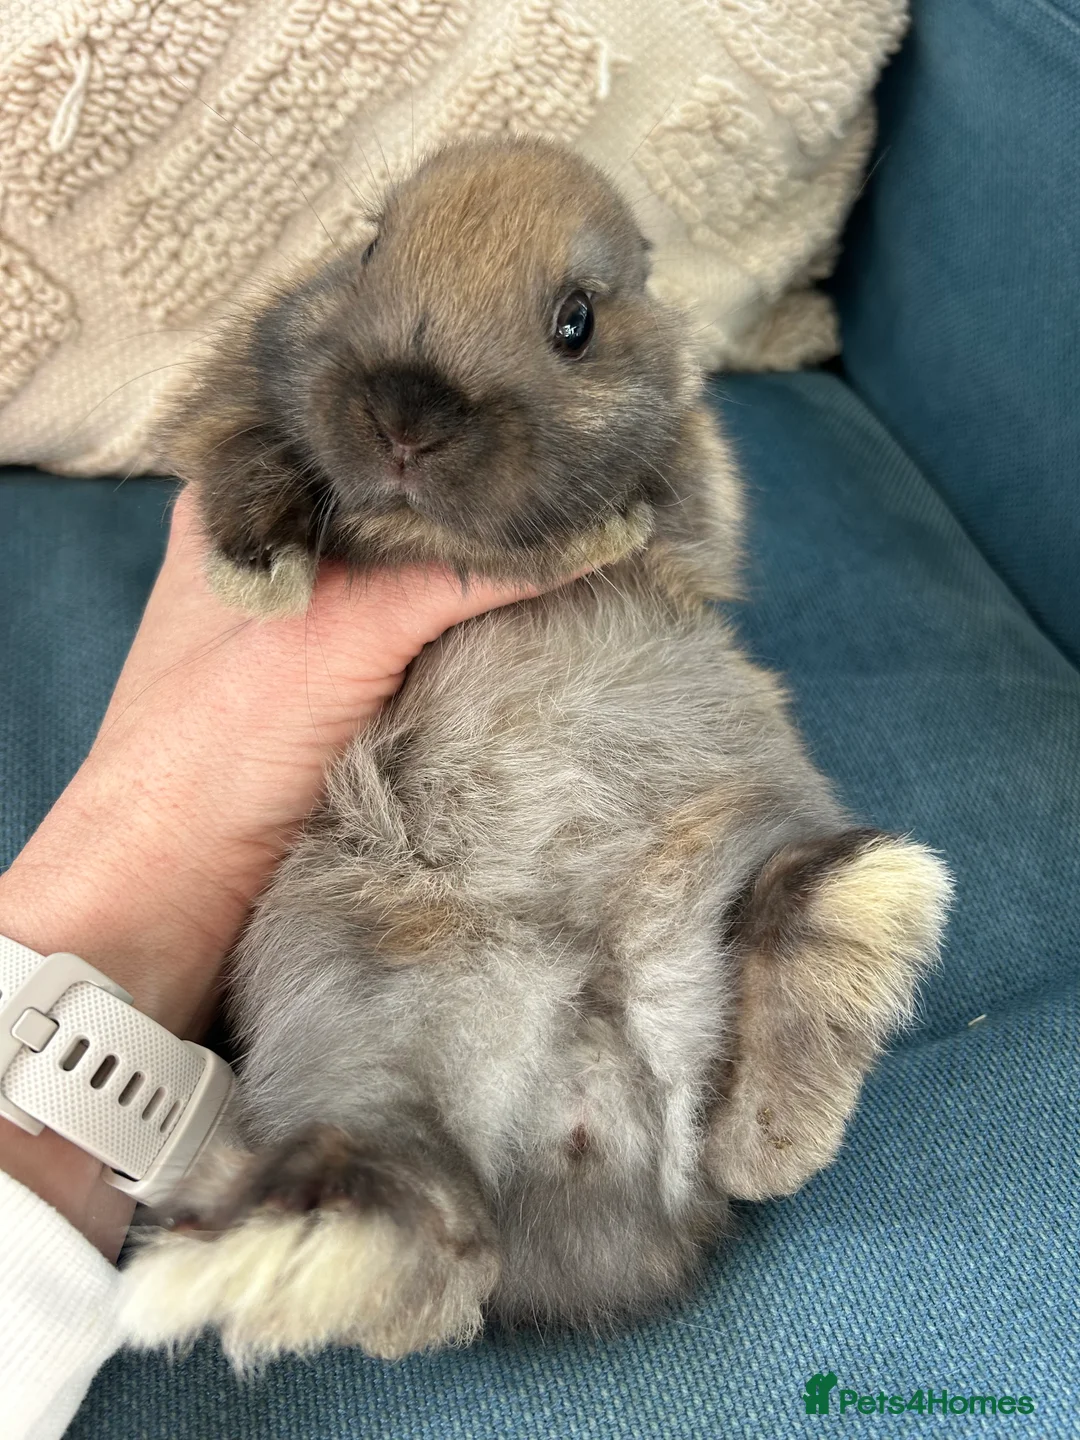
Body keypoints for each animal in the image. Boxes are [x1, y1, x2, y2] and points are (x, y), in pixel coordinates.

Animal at [119, 136, 951, 1367]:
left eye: (577, 323)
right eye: (370, 251)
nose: (409, 417)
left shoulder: (698, 497)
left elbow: (678, 498)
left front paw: (603, 524)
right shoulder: (228, 410)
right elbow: (244, 447)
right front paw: (260, 570)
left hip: (725, 860)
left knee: (758, 1006)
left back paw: (849, 927)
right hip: (349, 1019)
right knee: (430, 1219)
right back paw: (286, 1245)